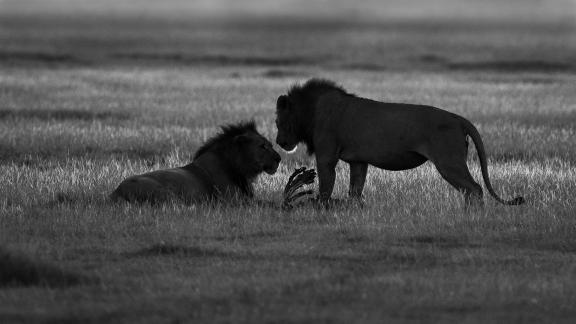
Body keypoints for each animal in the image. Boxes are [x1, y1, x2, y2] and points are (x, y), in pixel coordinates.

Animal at [110, 121, 282, 205]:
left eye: (271, 144)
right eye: (262, 146)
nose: (279, 159)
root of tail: (115, 193)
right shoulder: (234, 201)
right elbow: (267, 203)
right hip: (166, 194)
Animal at [276, 77, 528, 206]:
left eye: (278, 121)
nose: (279, 142)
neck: (309, 111)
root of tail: (458, 118)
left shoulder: (326, 156)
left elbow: (326, 186)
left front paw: (321, 208)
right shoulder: (358, 161)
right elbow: (355, 190)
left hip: (449, 162)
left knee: (474, 189)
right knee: (472, 190)